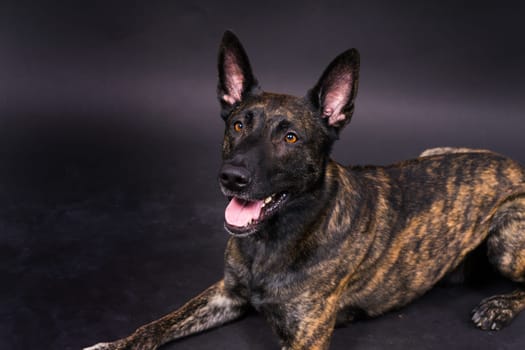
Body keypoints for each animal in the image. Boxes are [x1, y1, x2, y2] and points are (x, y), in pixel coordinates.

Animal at [84, 31, 524, 348]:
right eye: (237, 125)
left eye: (291, 137)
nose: (231, 177)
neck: (272, 240)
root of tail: (514, 164)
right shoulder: (225, 293)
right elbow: (159, 323)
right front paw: (115, 345)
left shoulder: (305, 338)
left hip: (505, 234)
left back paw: (498, 307)